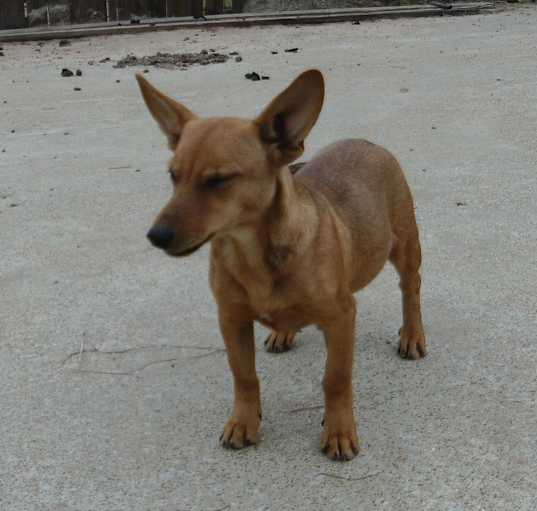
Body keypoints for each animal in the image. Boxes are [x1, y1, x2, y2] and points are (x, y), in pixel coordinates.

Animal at [136, 70, 426, 462]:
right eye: (173, 175)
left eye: (219, 180)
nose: (156, 236)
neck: (252, 253)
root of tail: (366, 142)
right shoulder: (231, 319)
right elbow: (243, 375)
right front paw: (243, 422)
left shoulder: (341, 317)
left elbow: (336, 379)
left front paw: (339, 430)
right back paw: (283, 332)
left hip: (405, 248)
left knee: (410, 289)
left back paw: (412, 335)